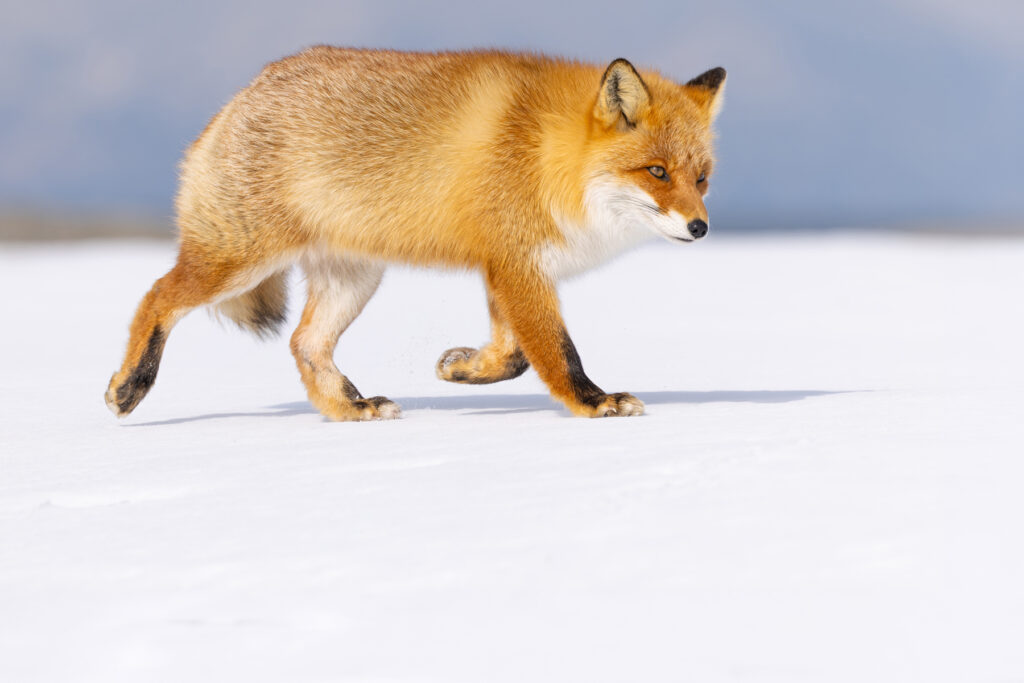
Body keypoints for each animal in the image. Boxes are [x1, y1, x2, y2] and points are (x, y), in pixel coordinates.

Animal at [105, 47, 726, 421]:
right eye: (657, 172)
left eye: (701, 178)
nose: (699, 227)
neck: (550, 160)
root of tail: (243, 93)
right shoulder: (517, 265)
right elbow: (556, 352)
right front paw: (594, 401)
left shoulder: (506, 266)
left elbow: (515, 356)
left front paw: (462, 367)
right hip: (240, 260)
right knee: (155, 296)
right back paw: (130, 385)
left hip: (353, 279)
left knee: (304, 343)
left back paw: (350, 408)